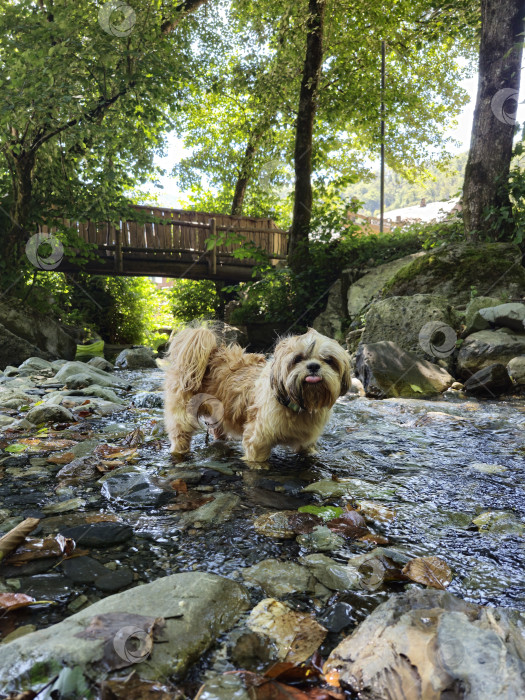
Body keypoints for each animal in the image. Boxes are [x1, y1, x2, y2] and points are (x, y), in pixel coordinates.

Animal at [163, 322, 352, 464]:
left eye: (329, 360)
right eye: (297, 359)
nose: (313, 366)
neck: (296, 402)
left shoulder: (307, 442)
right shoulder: (258, 438)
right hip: (184, 414)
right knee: (180, 433)